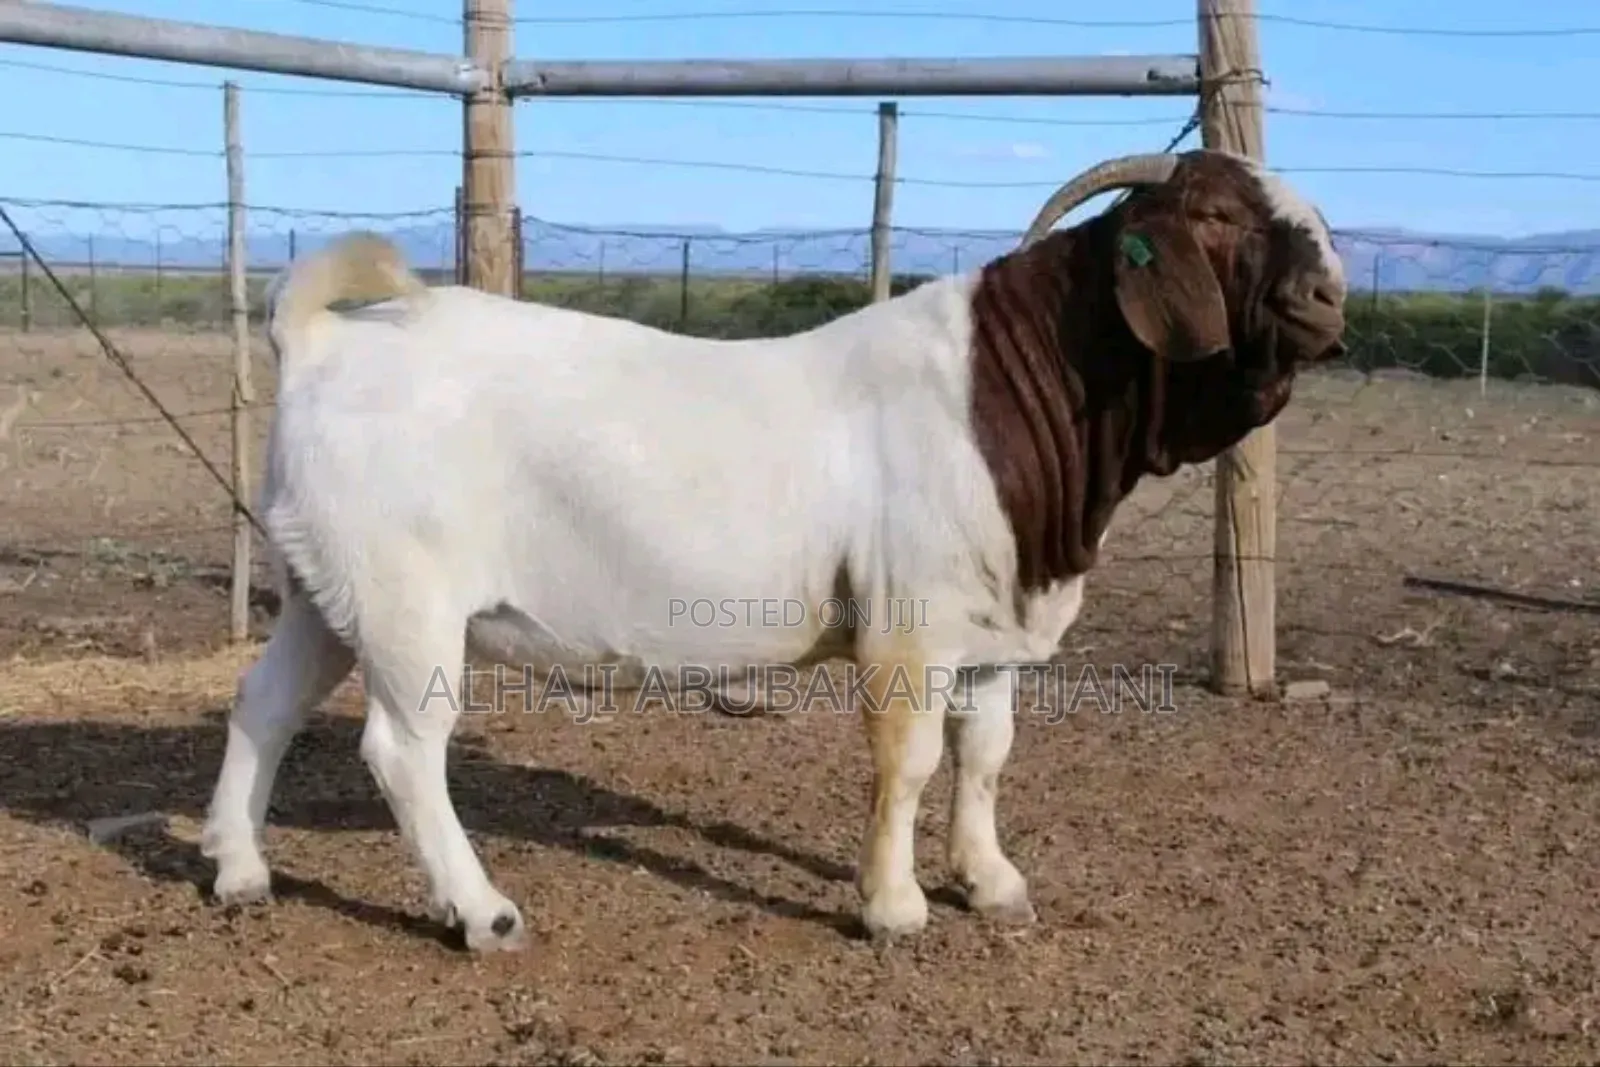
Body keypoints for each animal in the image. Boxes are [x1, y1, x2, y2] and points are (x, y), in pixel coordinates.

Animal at [200, 148, 1348, 952]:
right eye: (1213, 216)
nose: (1329, 295)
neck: (1007, 394)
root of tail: (321, 340)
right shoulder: (908, 623)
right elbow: (910, 758)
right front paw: (893, 907)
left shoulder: (990, 633)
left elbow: (985, 755)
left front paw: (991, 883)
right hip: (407, 599)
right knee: (403, 749)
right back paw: (484, 913)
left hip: (322, 586)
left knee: (263, 704)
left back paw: (239, 871)